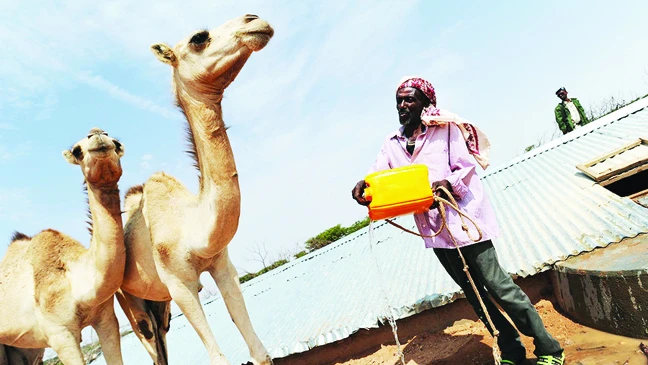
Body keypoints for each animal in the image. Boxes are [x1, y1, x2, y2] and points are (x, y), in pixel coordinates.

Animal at [116, 14, 274, 364]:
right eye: (198, 38)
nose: (256, 20)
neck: (191, 226)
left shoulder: (222, 265)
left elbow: (259, 350)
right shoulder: (178, 283)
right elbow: (217, 357)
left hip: (159, 303)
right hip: (128, 300)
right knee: (150, 343)